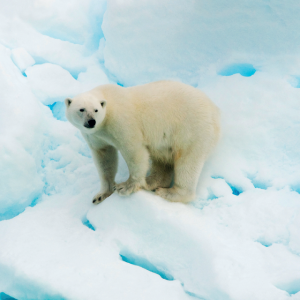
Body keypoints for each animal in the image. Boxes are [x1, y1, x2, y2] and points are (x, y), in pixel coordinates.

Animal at [65, 81, 220, 204]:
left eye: (96, 110)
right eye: (81, 109)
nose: (91, 122)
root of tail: (215, 111)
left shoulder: (121, 122)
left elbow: (133, 150)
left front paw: (125, 187)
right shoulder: (96, 136)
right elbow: (105, 159)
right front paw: (101, 195)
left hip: (191, 129)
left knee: (187, 161)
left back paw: (168, 192)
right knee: (162, 160)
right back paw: (152, 182)